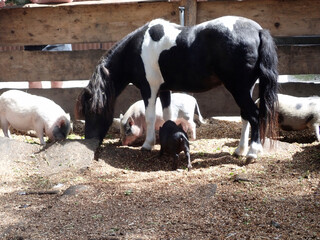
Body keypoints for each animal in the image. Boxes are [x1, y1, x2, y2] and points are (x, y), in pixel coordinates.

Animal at [76, 15, 278, 160]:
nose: (90, 140)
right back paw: (240, 150)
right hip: (245, 88)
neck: (137, 49)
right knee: (245, 117)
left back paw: (252, 152)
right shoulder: (165, 89)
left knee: (254, 116)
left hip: (238, 89)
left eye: (92, 111)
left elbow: (150, 117)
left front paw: (148, 145)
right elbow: (168, 116)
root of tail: (258, 30)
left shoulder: (149, 89)